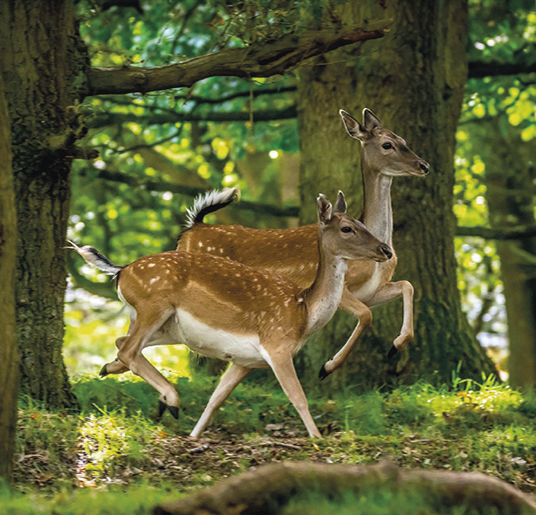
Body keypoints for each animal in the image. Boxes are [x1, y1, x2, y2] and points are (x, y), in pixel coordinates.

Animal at [69, 191, 392, 438]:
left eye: (360, 222)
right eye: (347, 228)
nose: (386, 249)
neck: (303, 312)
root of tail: (120, 271)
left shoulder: (245, 361)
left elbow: (217, 398)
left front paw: (194, 436)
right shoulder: (276, 345)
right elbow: (298, 397)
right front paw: (317, 439)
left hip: (167, 327)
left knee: (122, 343)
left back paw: (121, 377)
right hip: (154, 305)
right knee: (129, 349)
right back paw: (171, 400)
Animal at [178, 109, 430, 378]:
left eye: (403, 139)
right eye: (387, 144)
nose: (424, 165)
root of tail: (193, 228)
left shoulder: (372, 292)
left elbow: (407, 285)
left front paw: (396, 345)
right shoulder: (342, 287)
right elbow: (366, 314)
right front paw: (327, 367)